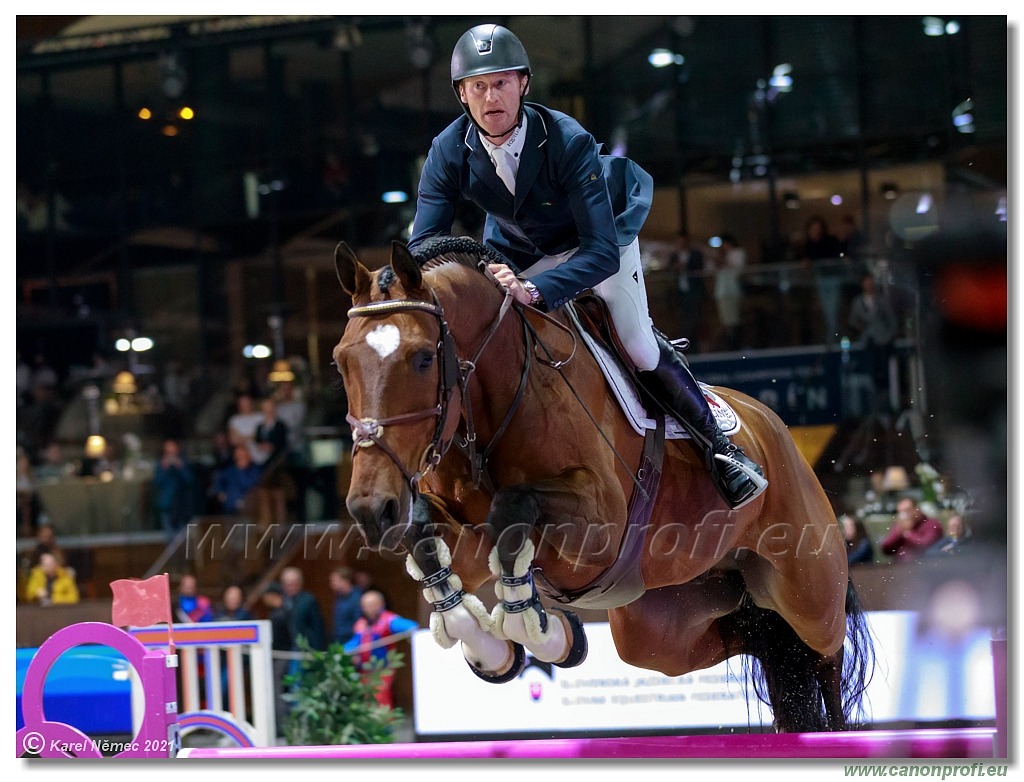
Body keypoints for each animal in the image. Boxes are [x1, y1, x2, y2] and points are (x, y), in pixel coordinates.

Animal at [329, 235, 872, 728]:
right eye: (340, 361)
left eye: (423, 358)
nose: (370, 509)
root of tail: (775, 429)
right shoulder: (465, 537)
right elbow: (429, 542)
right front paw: (501, 648)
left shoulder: (599, 527)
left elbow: (513, 508)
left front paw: (541, 629)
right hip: (660, 625)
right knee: (758, 639)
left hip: (808, 592)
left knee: (821, 652)